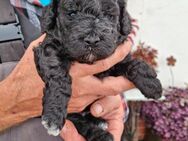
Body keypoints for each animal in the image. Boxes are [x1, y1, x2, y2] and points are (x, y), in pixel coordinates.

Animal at [33, 0, 162, 140]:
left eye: (108, 15)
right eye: (72, 14)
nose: (92, 40)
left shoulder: (115, 58)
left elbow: (131, 63)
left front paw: (152, 84)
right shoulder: (49, 48)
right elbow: (58, 77)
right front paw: (53, 116)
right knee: (80, 123)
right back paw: (101, 135)